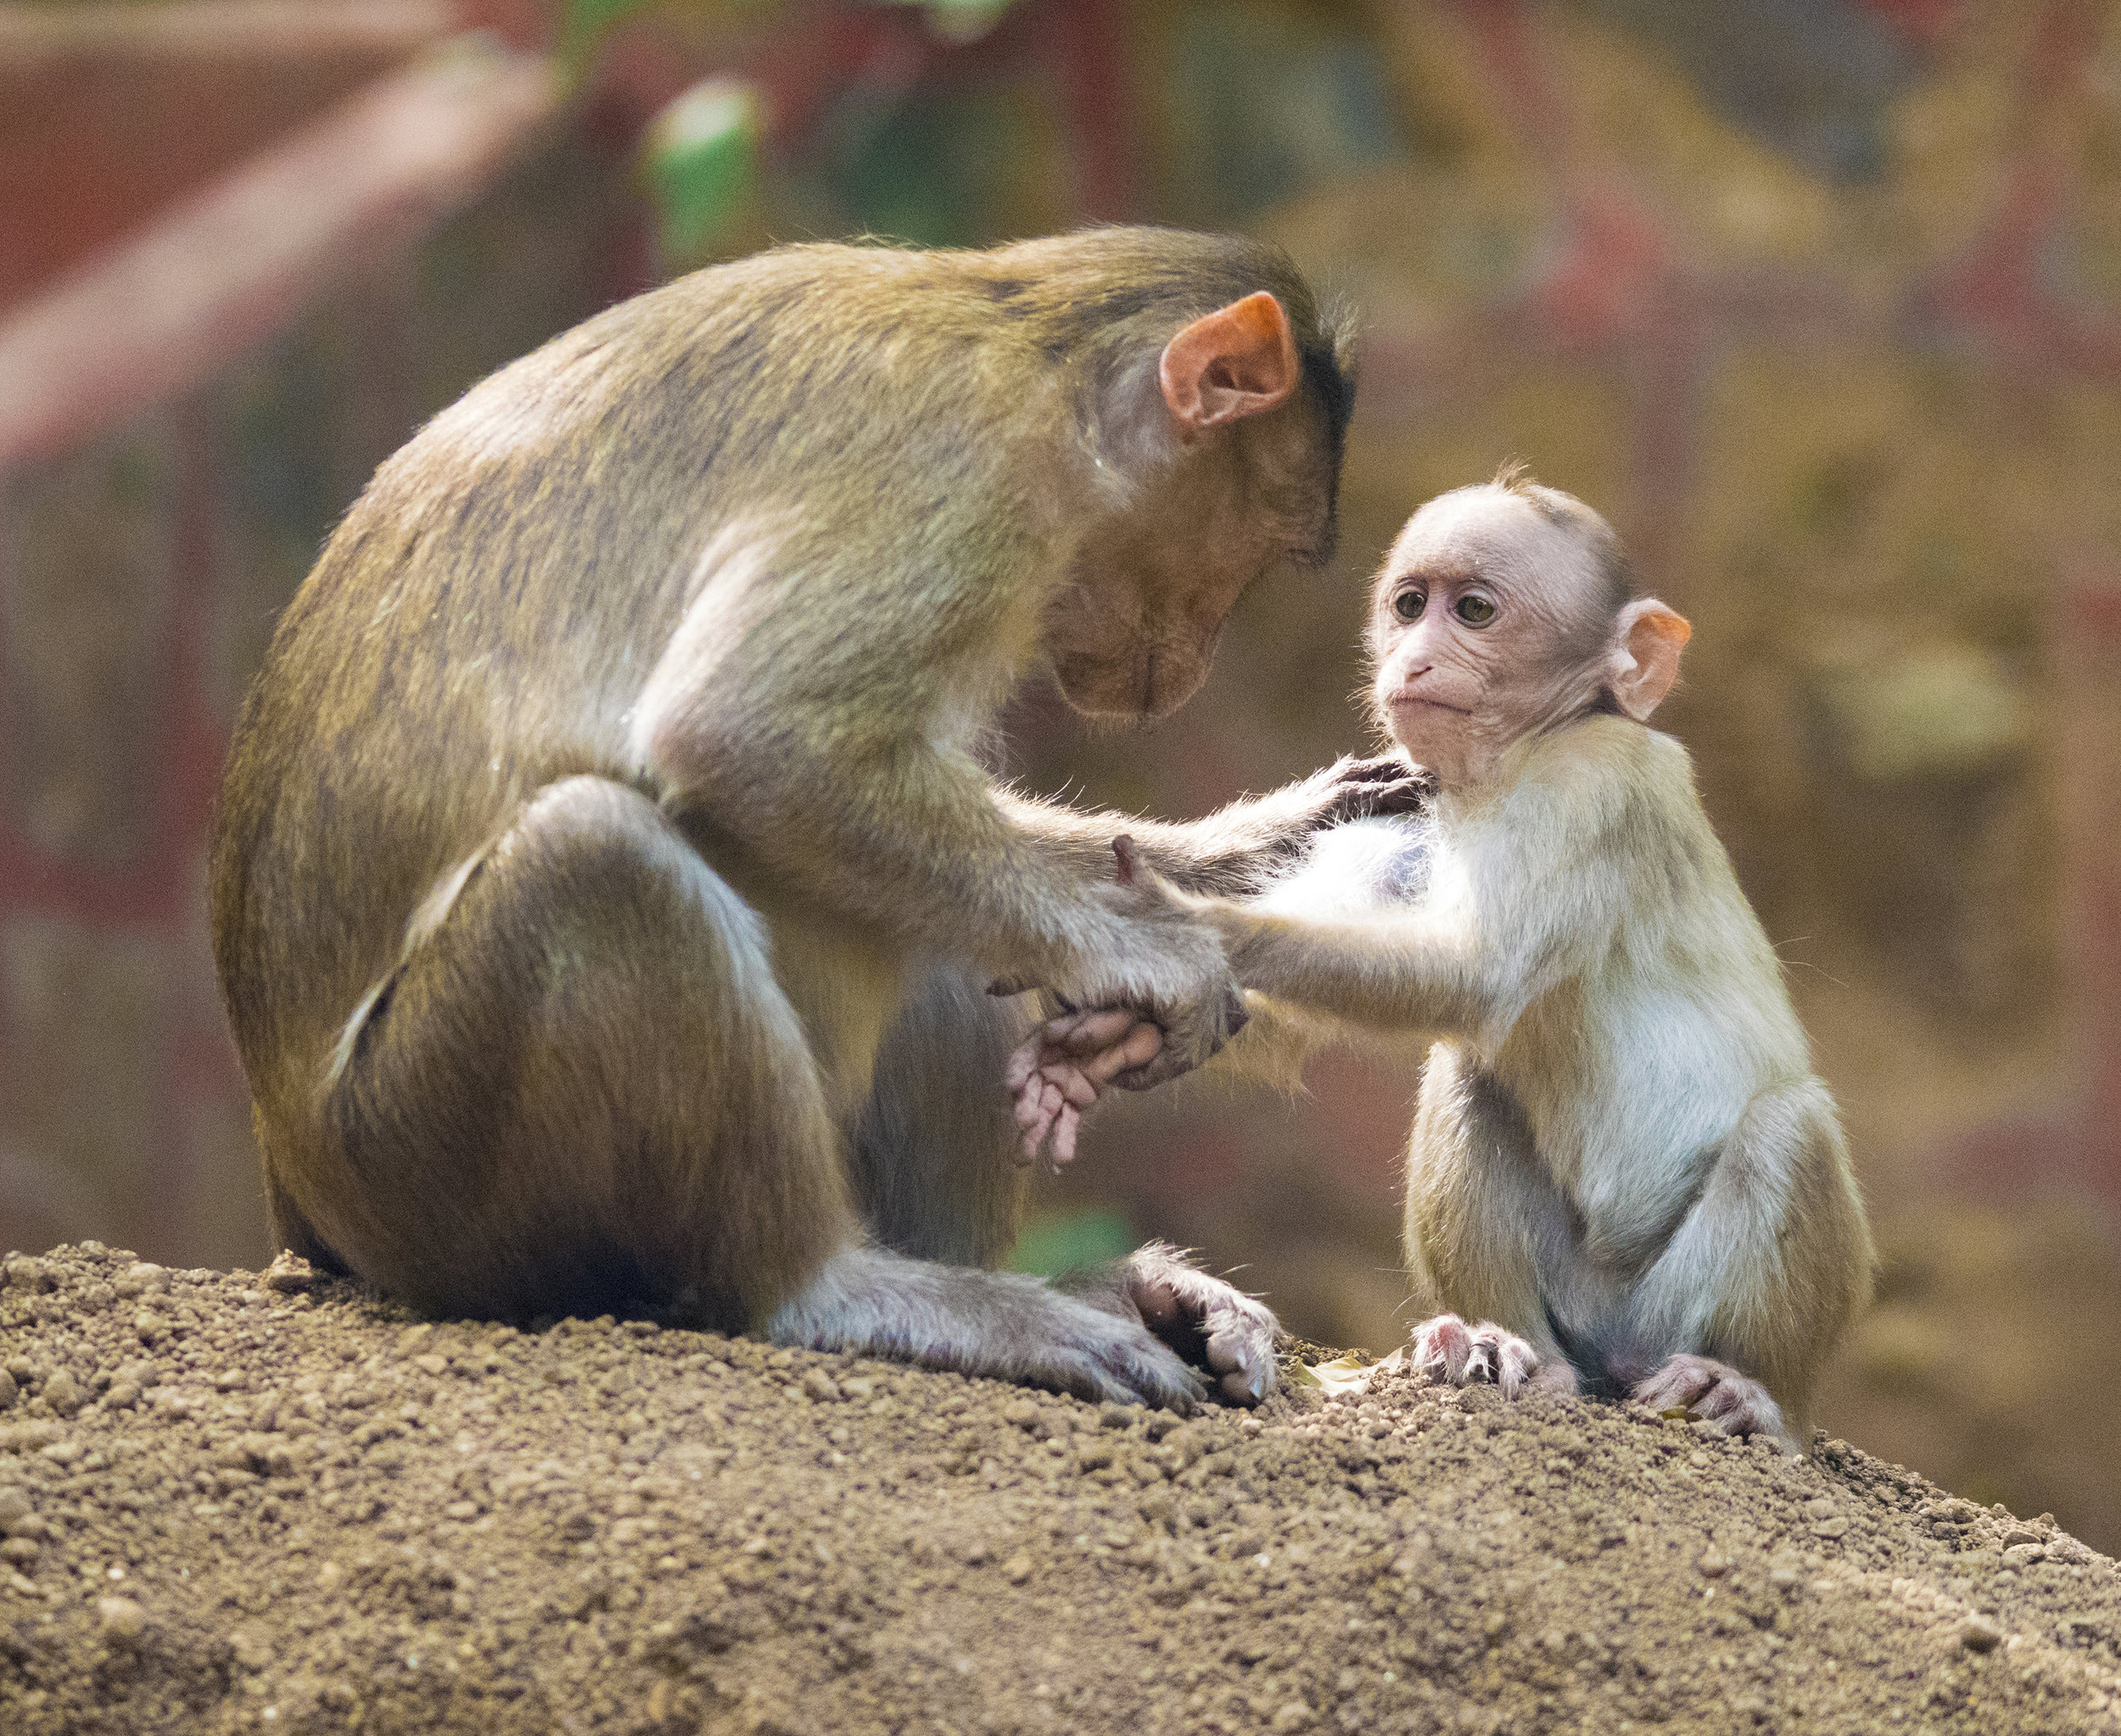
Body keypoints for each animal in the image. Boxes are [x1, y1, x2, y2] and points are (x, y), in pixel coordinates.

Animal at [206, 227, 1391, 1408]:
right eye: (1264, 545)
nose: (1190, 671)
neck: (1040, 347)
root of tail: (297, 1191)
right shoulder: (959, 474)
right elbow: (745, 735)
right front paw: (1154, 960)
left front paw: (1242, 855)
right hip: (425, 1170)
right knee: (598, 857)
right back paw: (848, 1291)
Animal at [1027, 462, 1875, 1451]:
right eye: (1408, 605)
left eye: (1473, 610)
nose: (1415, 658)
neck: (1516, 763)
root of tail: (1612, 1365)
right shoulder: (1417, 817)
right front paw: (1110, 1021)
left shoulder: (1595, 782)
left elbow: (1481, 975)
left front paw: (1180, 924)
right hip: (1576, 1310)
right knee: (1471, 1078)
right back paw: (1506, 1351)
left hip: (1668, 1316)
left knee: (1788, 1128)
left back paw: (1741, 1394)